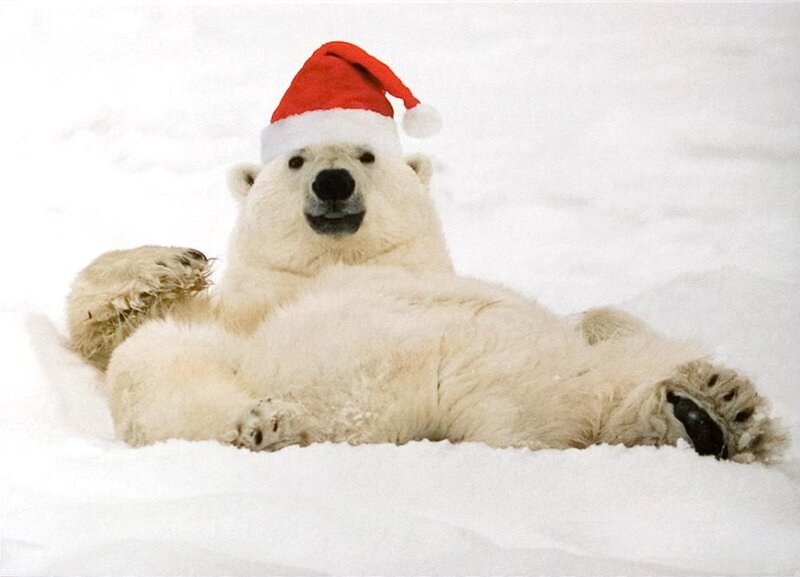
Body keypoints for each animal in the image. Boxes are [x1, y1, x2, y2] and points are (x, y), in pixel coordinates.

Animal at [67, 142, 786, 464]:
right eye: (296, 159)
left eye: (366, 153)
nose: (334, 181)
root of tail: (436, 416)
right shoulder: (242, 313)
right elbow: (125, 333)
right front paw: (170, 261)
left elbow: (604, 318)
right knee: (157, 371)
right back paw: (267, 423)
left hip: (556, 377)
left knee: (619, 376)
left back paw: (714, 409)